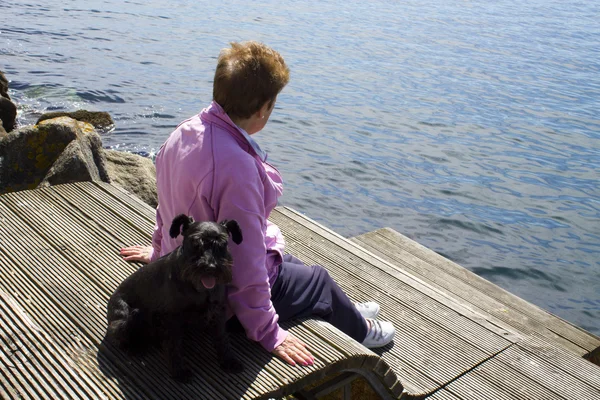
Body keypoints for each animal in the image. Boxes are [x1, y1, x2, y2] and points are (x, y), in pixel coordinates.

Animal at [106, 216, 243, 382]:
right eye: (195, 243)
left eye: (223, 244)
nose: (211, 267)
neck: (199, 288)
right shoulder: (172, 318)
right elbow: (174, 345)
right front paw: (179, 372)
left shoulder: (217, 312)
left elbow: (222, 338)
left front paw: (228, 361)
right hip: (127, 317)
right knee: (118, 335)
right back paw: (134, 347)